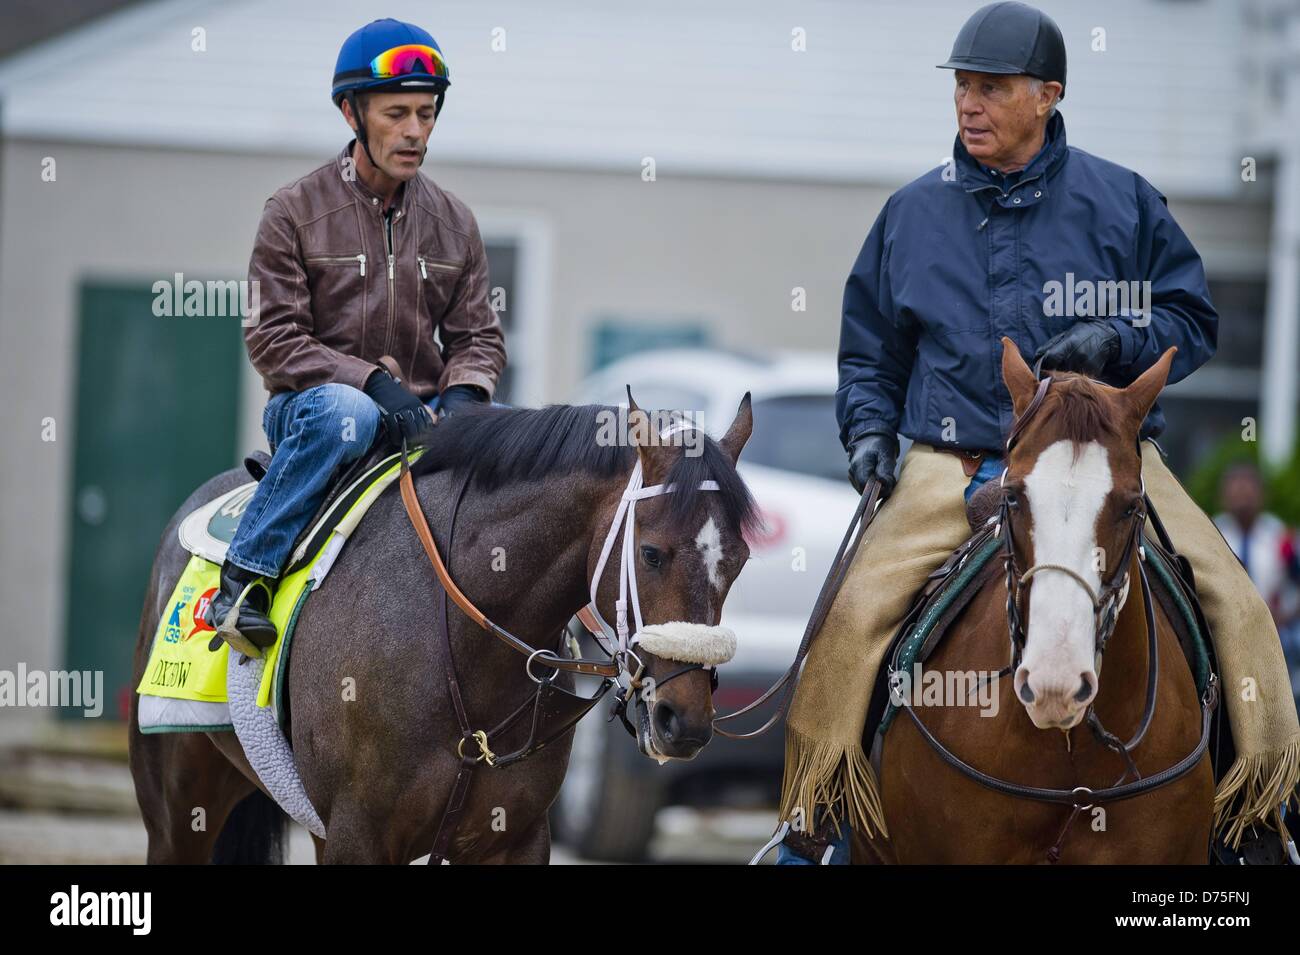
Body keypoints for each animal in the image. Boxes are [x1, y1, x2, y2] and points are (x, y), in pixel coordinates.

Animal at [126, 397, 759, 867]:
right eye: (651, 554)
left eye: (739, 561)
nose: (685, 720)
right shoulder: (359, 835)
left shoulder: (514, 841)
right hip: (178, 812)